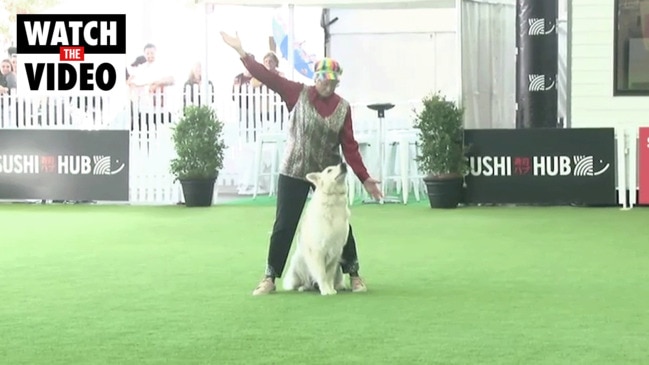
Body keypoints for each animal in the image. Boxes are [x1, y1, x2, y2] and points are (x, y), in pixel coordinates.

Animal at [282, 161, 350, 292]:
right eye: (329, 170)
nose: (344, 164)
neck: (333, 198)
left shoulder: (336, 252)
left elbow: (329, 275)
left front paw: (330, 290)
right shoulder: (317, 251)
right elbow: (322, 274)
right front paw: (326, 291)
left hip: (338, 267)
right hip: (297, 262)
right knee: (302, 282)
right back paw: (303, 287)